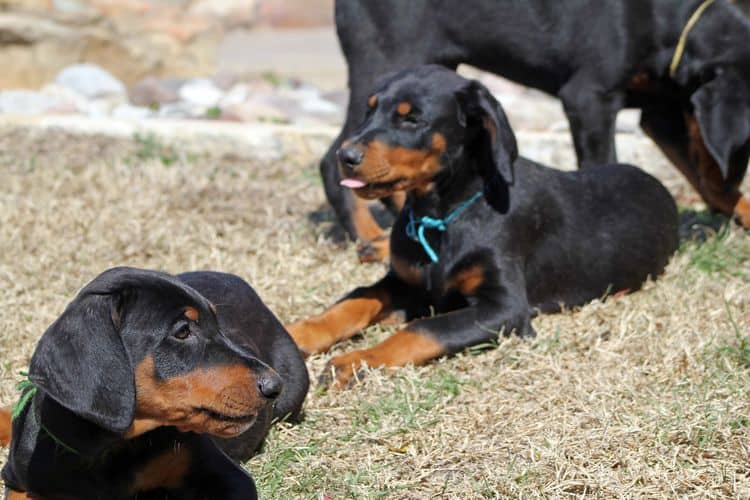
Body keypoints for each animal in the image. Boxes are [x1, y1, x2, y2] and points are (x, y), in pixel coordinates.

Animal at [290, 66, 680, 386]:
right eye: (369, 109)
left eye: (412, 119)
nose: (345, 155)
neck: (441, 213)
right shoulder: (403, 279)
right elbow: (355, 300)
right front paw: (297, 334)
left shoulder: (505, 309)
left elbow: (424, 329)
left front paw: (355, 361)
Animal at [326, 1, 750, 262]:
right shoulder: (590, 96)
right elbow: (603, 162)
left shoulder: (661, 108)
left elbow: (708, 181)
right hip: (385, 59)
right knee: (333, 161)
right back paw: (372, 239)